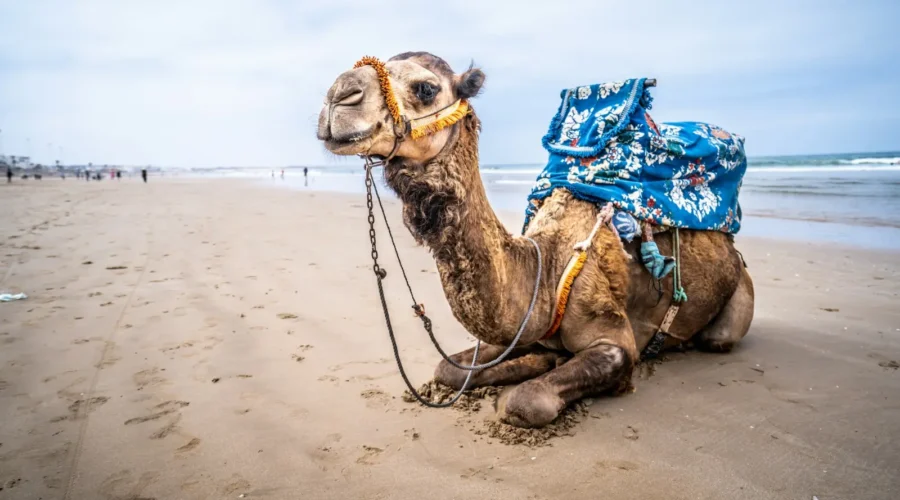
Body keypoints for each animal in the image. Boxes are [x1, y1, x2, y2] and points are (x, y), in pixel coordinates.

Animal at [316, 52, 754, 428]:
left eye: (425, 88)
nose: (339, 93)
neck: (546, 267)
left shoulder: (615, 339)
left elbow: (525, 401)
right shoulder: (523, 330)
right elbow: (447, 369)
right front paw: (534, 363)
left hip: (735, 300)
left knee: (718, 337)